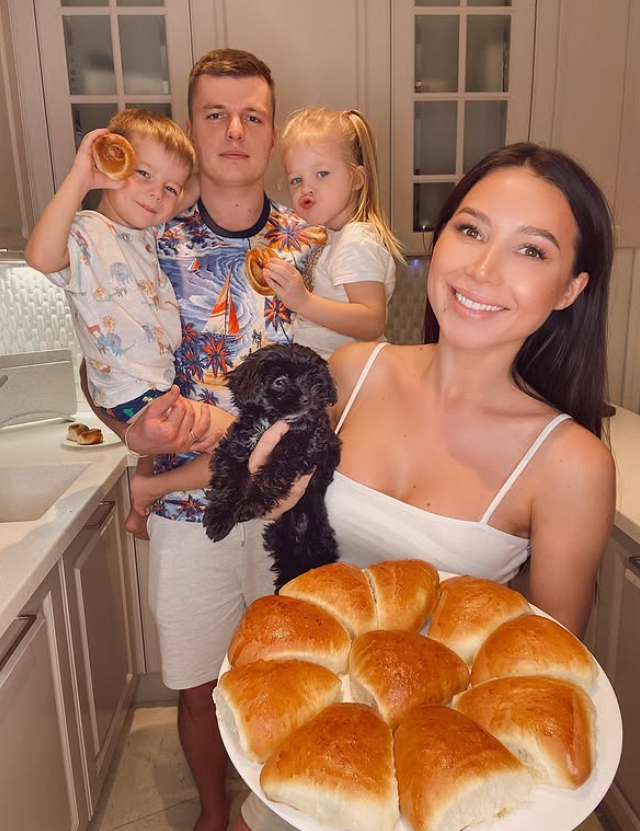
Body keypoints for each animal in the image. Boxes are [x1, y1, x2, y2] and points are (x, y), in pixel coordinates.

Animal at [202, 343, 341, 589]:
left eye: (314, 380)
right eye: (280, 381)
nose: (308, 397)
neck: (271, 422)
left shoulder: (304, 446)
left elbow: (273, 473)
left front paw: (251, 505)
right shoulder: (236, 446)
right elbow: (230, 480)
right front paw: (220, 517)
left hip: (317, 545)